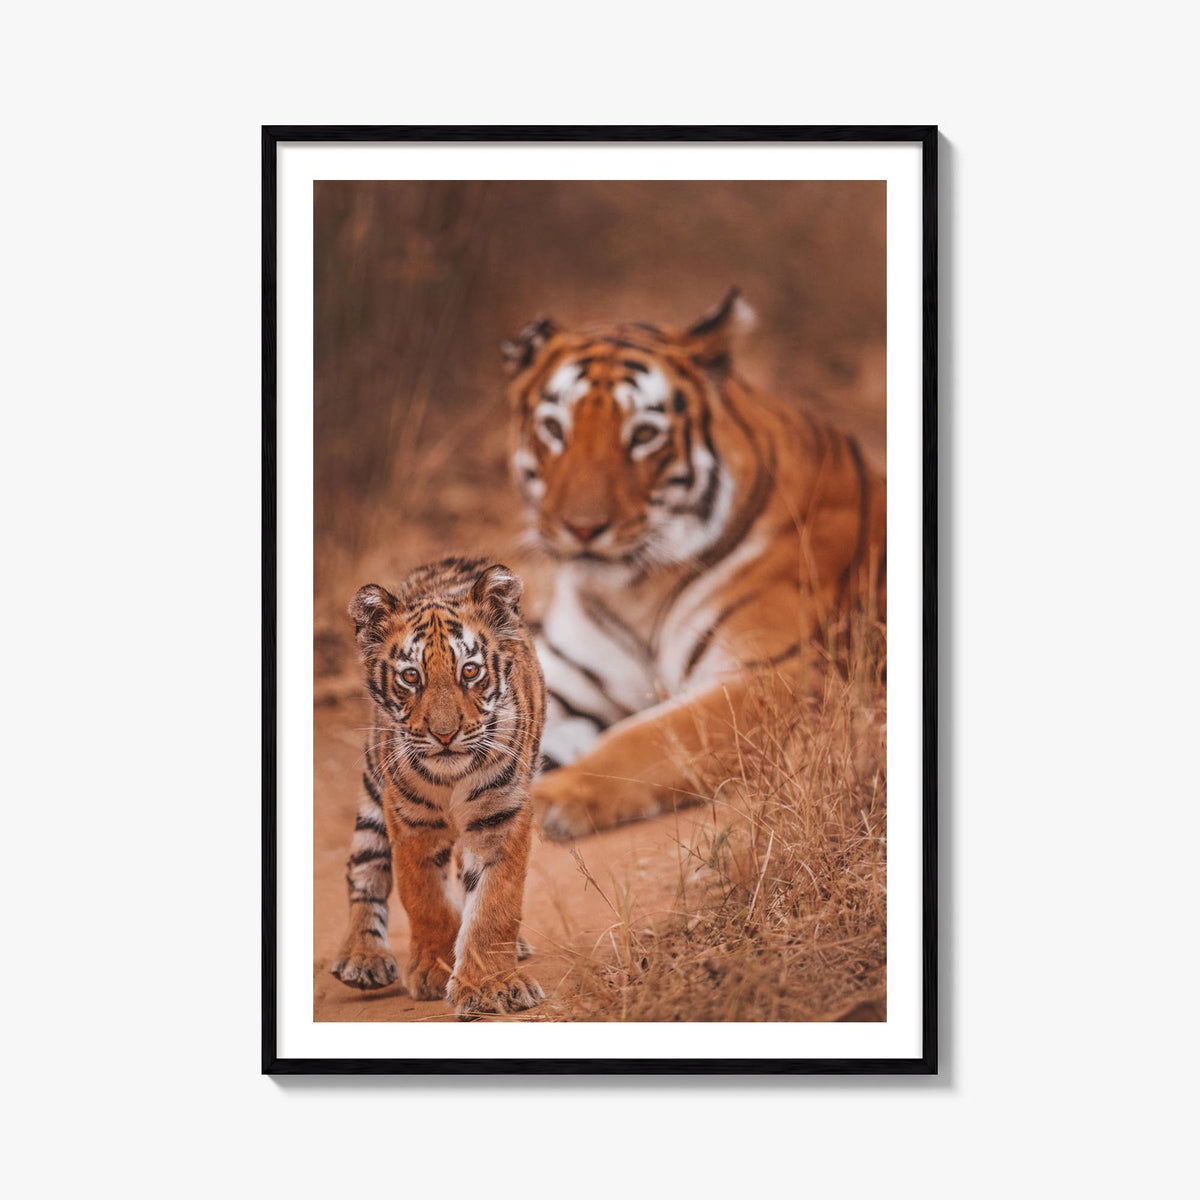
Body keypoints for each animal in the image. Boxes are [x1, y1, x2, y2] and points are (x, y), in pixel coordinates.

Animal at [330, 556, 547, 1017]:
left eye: (470, 671)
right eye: (411, 677)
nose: (444, 735)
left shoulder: (501, 817)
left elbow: (496, 903)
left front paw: (491, 984)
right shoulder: (411, 822)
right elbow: (425, 899)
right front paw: (434, 970)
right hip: (374, 786)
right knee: (364, 866)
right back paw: (363, 957)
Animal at [502, 288, 886, 840]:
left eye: (643, 435)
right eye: (554, 429)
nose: (582, 528)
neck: (634, 591)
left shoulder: (777, 677)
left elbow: (648, 737)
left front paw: (554, 797)